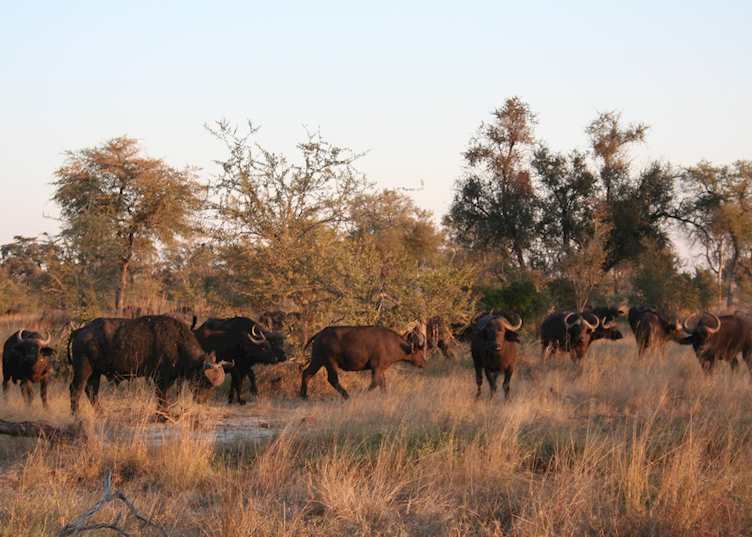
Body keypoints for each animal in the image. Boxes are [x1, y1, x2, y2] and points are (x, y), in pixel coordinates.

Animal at [69, 315, 231, 416]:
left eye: (213, 387)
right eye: (203, 381)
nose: (201, 401)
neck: (177, 344)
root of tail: (79, 331)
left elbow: (163, 396)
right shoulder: (160, 378)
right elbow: (162, 396)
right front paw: (163, 415)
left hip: (95, 373)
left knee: (91, 391)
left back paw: (100, 413)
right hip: (83, 370)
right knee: (76, 389)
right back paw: (76, 414)